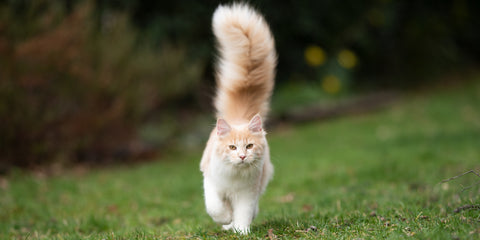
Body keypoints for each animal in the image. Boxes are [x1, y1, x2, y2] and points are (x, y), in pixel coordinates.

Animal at [201, 3, 278, 234]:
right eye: (232, 147)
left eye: (249, 146)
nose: (242, 156)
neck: (235, 176)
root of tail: (240, 117)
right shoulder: (211, 182)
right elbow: (216, 207)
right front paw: (226, 219)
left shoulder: (247, 194)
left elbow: (243, 213)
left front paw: (241, 231)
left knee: (252, 209)